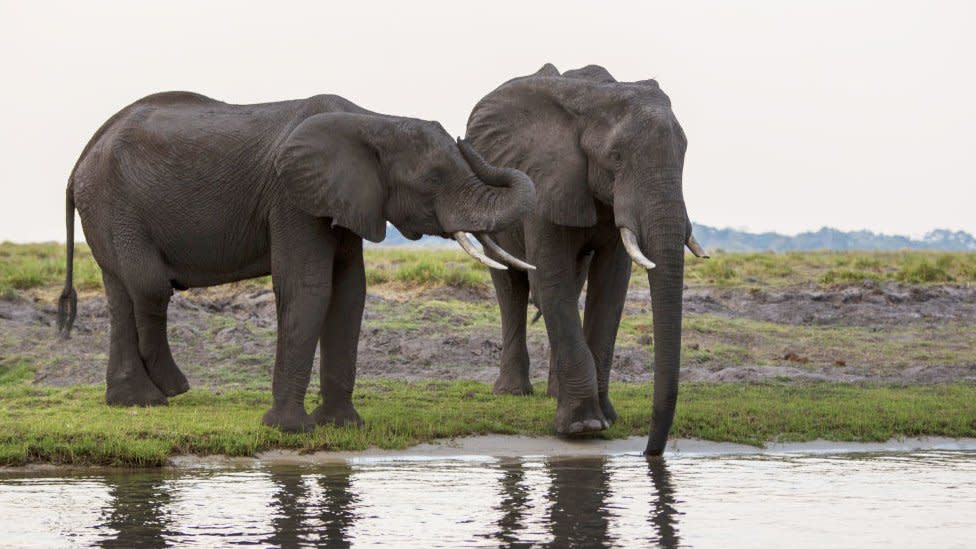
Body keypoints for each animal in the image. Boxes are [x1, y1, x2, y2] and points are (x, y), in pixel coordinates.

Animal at [57, 91, 536, 432]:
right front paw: (289, 429)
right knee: (148, 286)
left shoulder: (343, 200)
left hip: (106, 208)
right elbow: (308, 287)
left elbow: (350, 293)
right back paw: (171, 389)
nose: (463, 137)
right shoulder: (291, 198)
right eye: (433, 179)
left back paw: (136, 401)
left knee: (122, 292)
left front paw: (343, 426)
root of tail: (82, 156)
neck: (372, 120)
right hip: (115, 205)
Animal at [468, 63, 708, 454]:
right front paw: (583, 427)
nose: (649, 453)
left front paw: (604, 418)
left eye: (684, 153)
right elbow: (551, 277)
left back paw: (554, 393)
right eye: (616, 157)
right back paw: (513, 392)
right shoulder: (544, 177)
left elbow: (610, 286)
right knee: (511, 286)